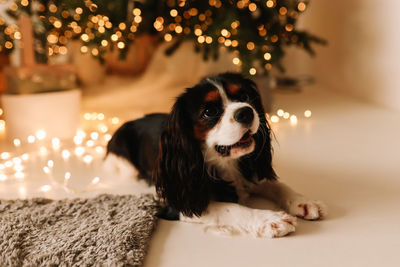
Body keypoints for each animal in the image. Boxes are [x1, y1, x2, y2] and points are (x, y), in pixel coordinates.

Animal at [105, 72, 324, 238]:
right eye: (209, 111)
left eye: (245, 97)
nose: (246, 112)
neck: (226, 163)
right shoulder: (178, 201)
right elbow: (230, 208)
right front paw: (271, 219)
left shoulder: (251, 172)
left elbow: (277, 184)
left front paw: (303, 201)